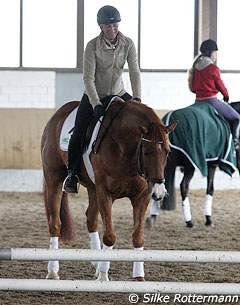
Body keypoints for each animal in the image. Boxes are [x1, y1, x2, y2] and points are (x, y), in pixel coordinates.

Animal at [40, 97, 176, 280]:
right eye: (147, 152)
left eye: (168, 152)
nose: (159, 192)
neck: (125, 149)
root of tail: (58, 114)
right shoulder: (105, 193)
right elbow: (110, 236)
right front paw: (104, 277)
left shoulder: (141, 196)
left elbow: (138, 237)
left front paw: (138, 277)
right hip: (54, 178)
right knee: (55, 224)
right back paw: (53, 271)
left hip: (93, 188)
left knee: (91, 220)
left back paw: (96, 263)